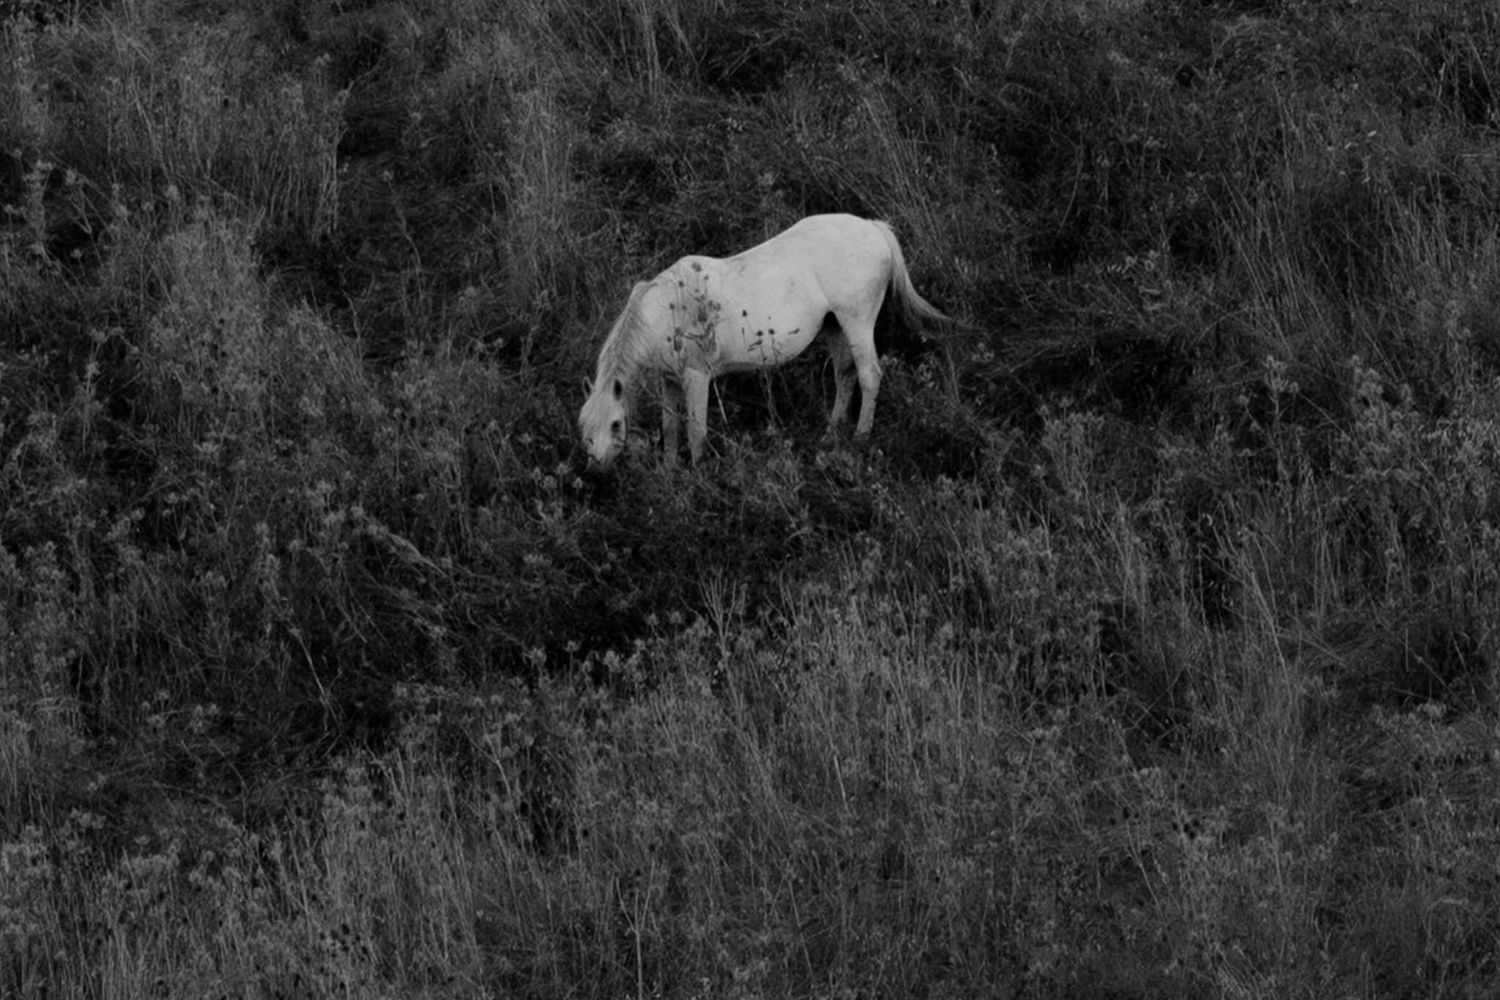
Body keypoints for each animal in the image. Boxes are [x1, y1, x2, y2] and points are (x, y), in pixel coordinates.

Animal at [578, 213, 949, 468]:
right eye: (584, 426)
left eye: (615, 423)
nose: (596, 470)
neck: (669, 310)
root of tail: (874, 228)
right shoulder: (669, 379)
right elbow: (670, 427)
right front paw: (670, 473)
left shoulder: (697, 378)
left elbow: (696, 431)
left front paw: (695, 478)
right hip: (835, 327)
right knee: (844, 376)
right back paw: (830, 436)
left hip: (857, 322)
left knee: (869, 375)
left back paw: (860, 438)